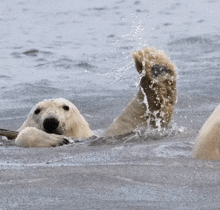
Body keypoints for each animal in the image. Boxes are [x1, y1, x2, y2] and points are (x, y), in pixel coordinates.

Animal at [5, 46, 178, 147]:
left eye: (66, 107)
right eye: (37, 111)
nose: (51, 121)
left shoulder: (97, 136)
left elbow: (135, 121)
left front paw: (157, 68)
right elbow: (23, 134)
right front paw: (56, 140)